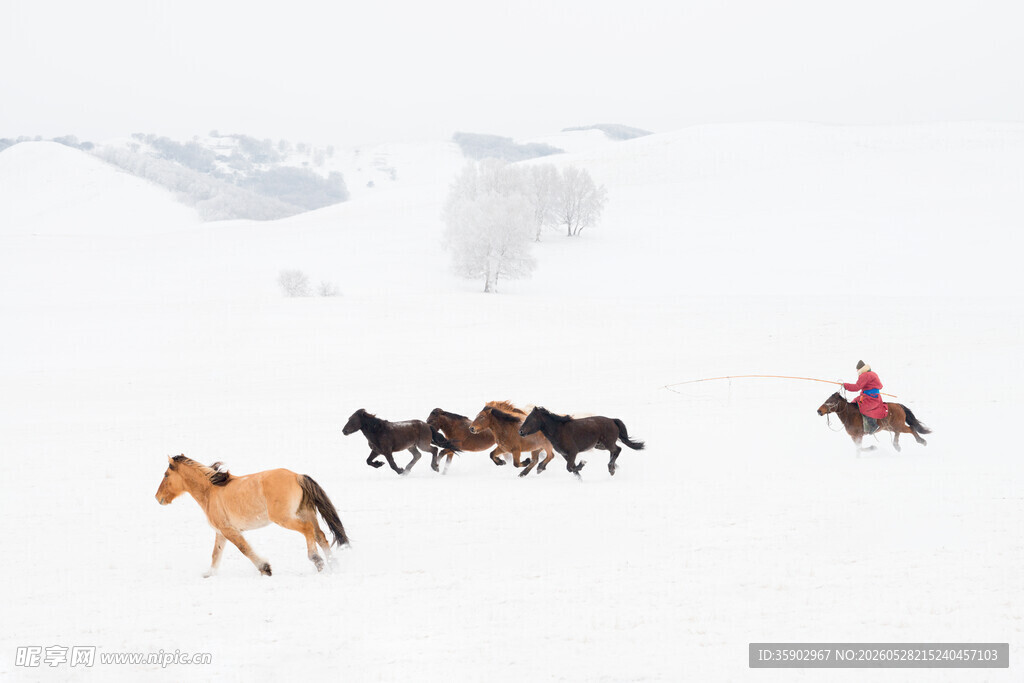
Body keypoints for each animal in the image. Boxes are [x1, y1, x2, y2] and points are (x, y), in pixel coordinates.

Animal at [155, 455, 349, 577]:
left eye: (166, 475)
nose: (158, 498)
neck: (211, 491)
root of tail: (297, 476)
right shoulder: (221, 532)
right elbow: (216, 554)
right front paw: (209, 574)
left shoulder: (229, 531)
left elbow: (244, 549)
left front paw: (265, 568)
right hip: (305, 512)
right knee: (320, 536)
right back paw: (333, 565)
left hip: (285, 518)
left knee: (307, 530)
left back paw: (317, 560)